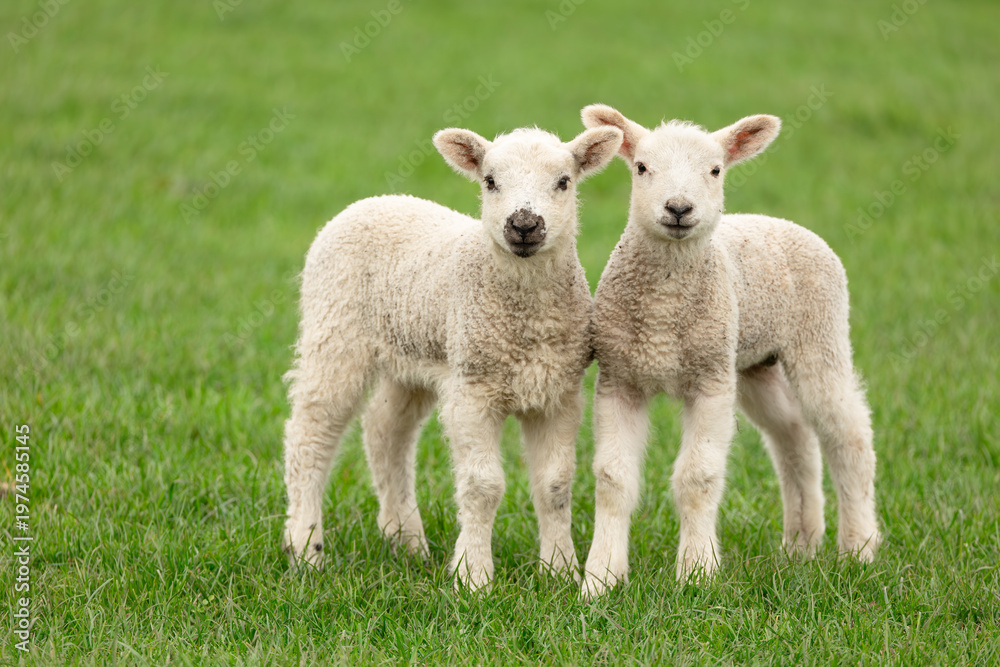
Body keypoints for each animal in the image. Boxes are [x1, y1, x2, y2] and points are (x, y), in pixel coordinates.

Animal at [281, 123, 624, 591]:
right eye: (490, 181)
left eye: (563, 182)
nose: (524, 224)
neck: (525, 322)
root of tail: (375, 200)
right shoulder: (472, 390)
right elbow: (483, 487)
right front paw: (473, 577)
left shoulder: (557, 392)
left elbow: (555, 485)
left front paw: (559, 570)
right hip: (334, 332)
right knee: (309, 435)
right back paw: (306, 549)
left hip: (410, 356)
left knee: (385, 431)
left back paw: (407, 541)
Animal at [578, 104, 881, 598]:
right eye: (641, 167)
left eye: (715, 170)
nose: (679, 208)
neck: (664, 314)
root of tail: (784, 223)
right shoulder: (620, 378)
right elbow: (612, 478)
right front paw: (601, 578)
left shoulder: (711, 381)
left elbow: (697, 477)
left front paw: (696, 574)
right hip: (755, 362)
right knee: (793, 434)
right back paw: (800, 545)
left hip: (819, 334)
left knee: (848, 434)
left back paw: (859, 549)